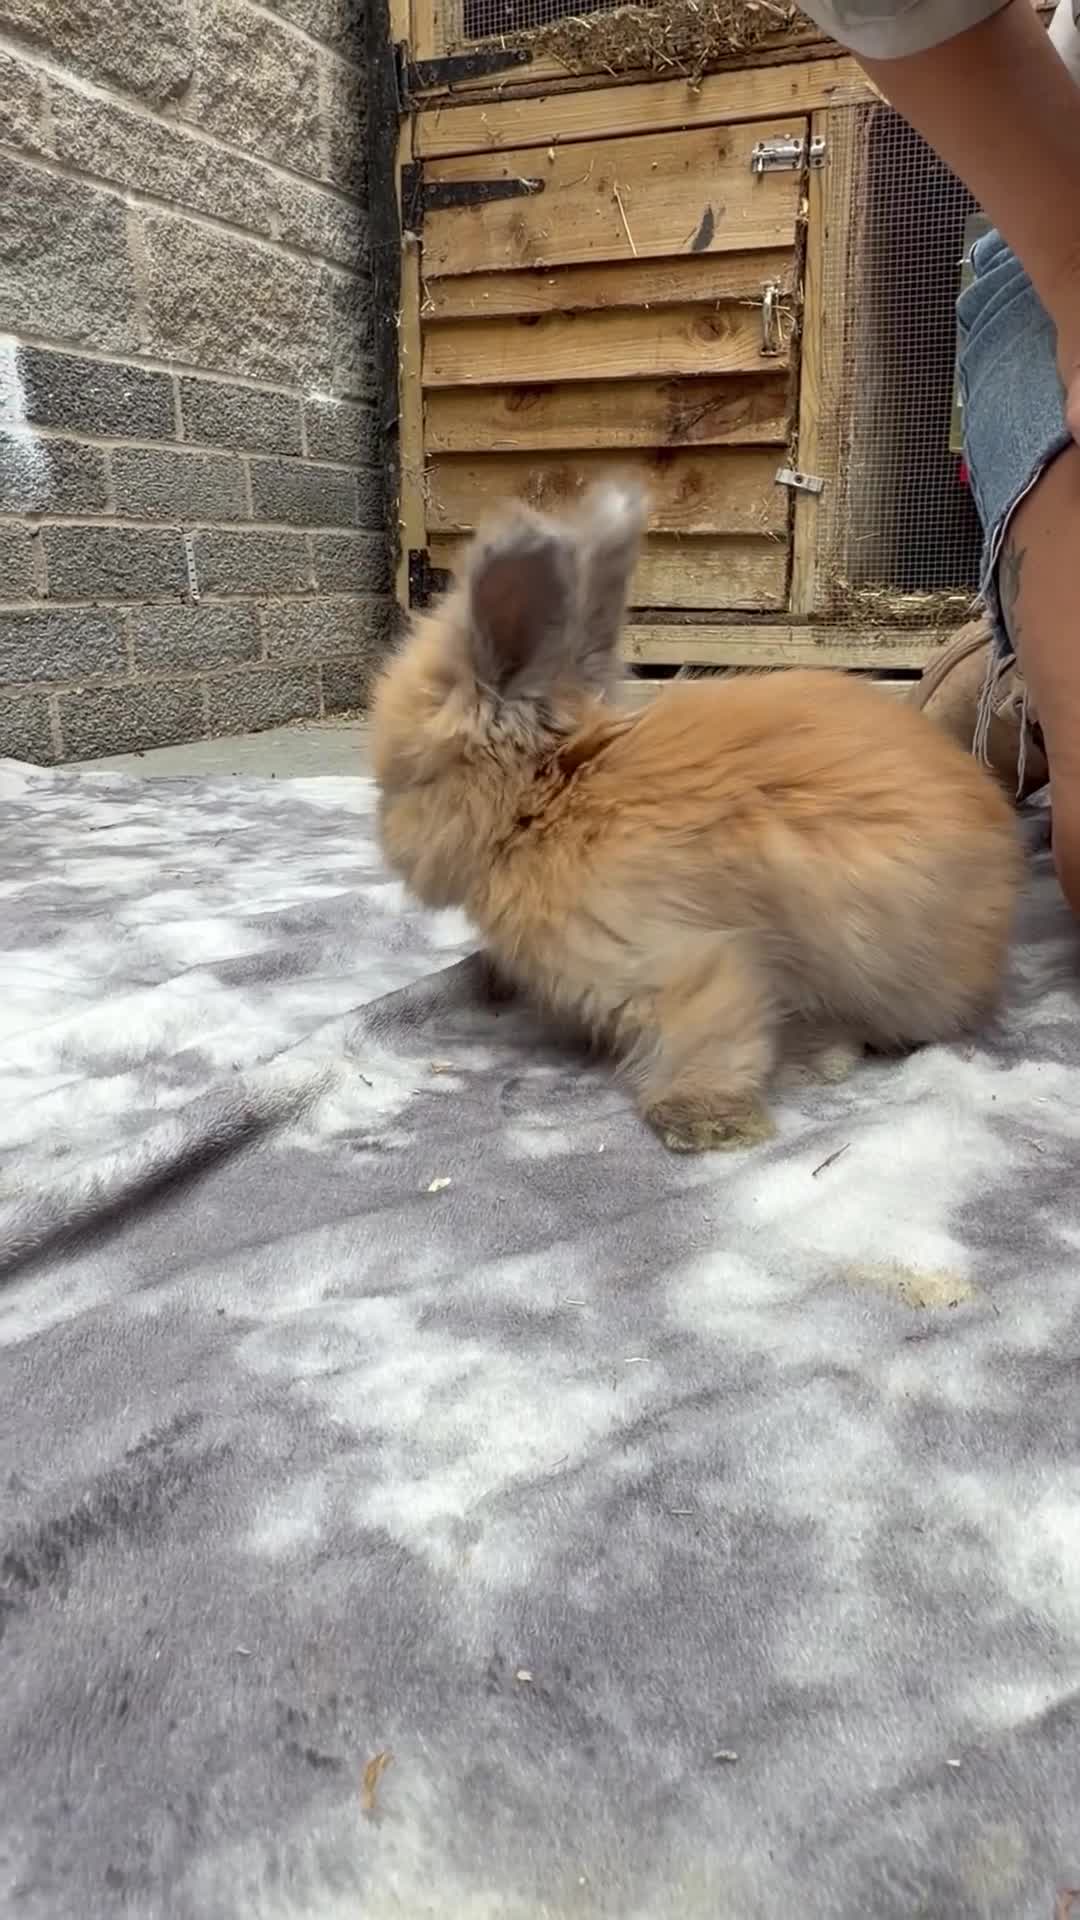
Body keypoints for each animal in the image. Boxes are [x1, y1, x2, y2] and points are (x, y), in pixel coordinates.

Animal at [372, 480, 1022, 1153]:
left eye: (412, 779)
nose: (389, 844)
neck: (551, 802)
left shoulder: (674, 962)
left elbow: (712, 1036)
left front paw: (706, 1125)